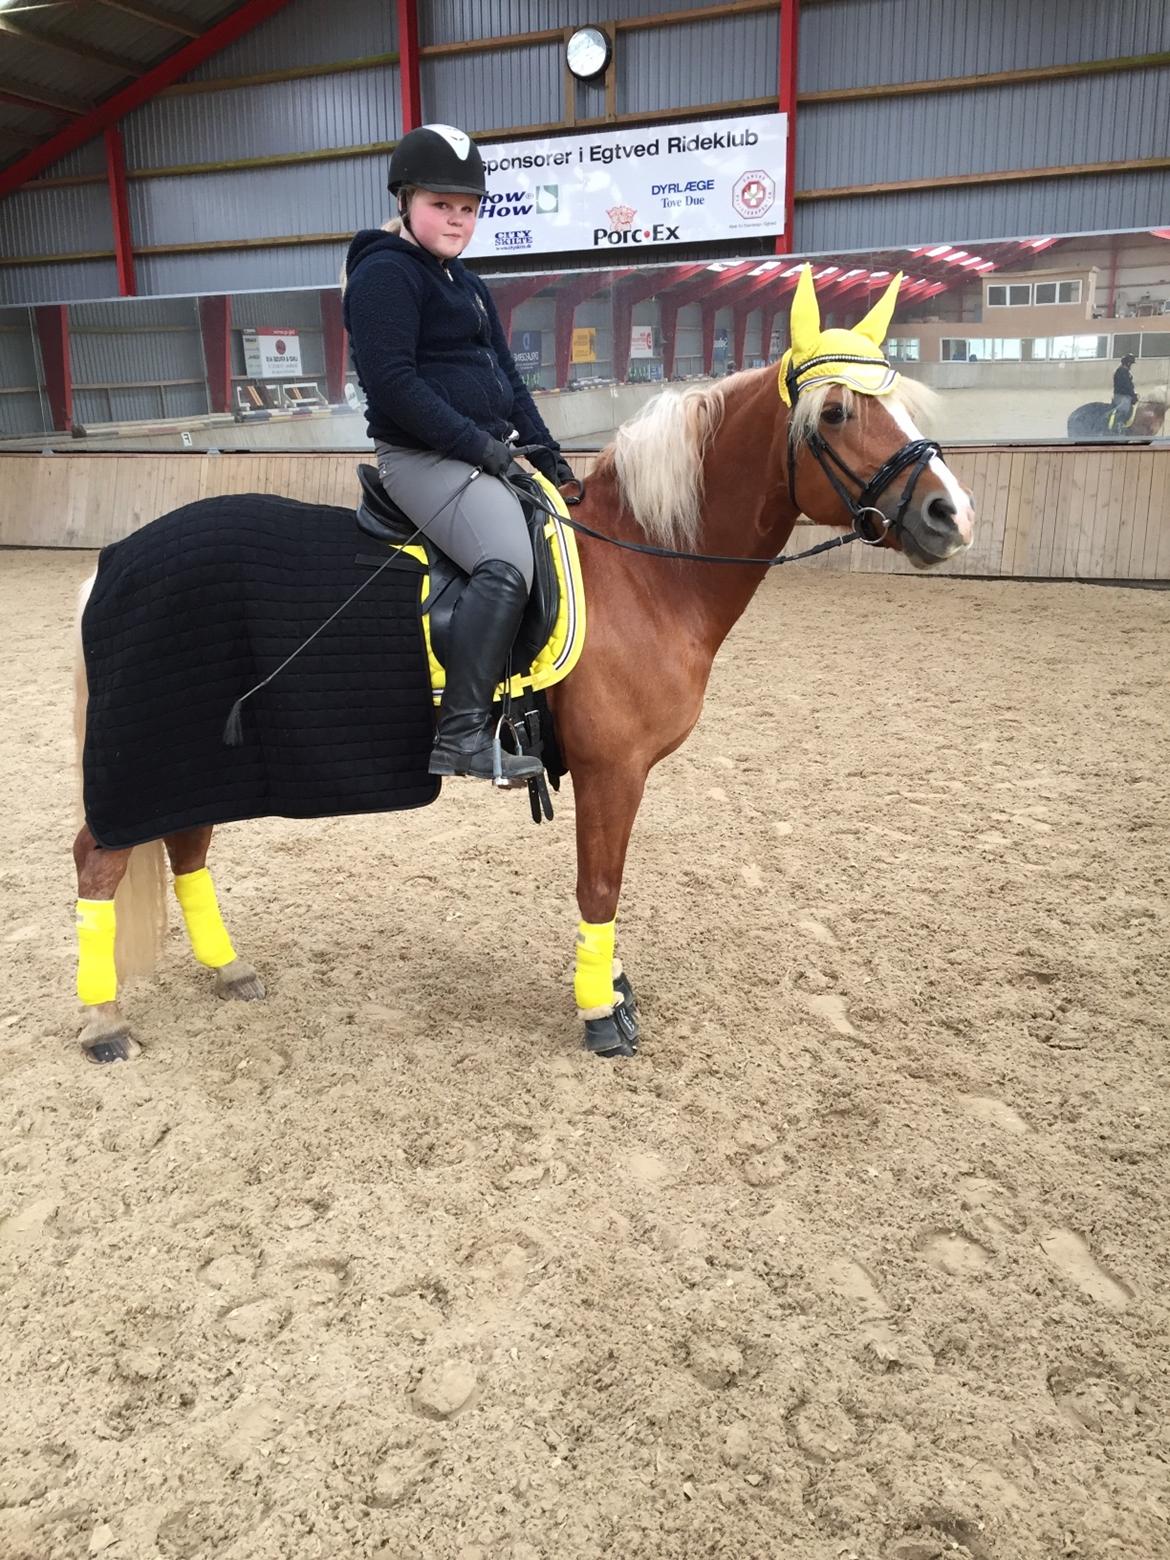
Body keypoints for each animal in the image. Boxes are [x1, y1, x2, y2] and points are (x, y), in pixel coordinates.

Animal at [68, 271, 973, 1073]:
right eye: (837, 411)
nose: (951, 514)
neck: (643, 569)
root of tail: (115, 562)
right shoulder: (613, 770)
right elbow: (600, 887)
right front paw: (602, 1014)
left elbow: (606, 885)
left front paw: (614, 989)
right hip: (156, 752)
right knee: (98, 861)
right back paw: (103, 1021)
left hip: (201, 759)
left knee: (185, 848)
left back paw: (228, 970)